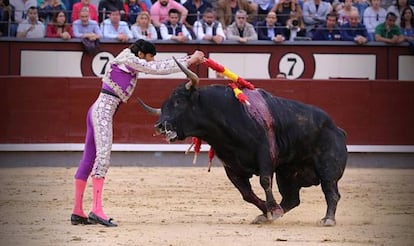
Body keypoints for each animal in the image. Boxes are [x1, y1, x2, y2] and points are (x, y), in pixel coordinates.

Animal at [137, 58, 348, 227]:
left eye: (178, 102)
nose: (160, 126)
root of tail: (337, 129)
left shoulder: (266, 154)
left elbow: (264, 181)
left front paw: (271, 210)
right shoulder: (231, 166)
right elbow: (246, 193)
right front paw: (267, 211)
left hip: (327, 167)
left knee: (331, 191)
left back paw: (328, 219)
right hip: (287, 172)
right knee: (292, 198)